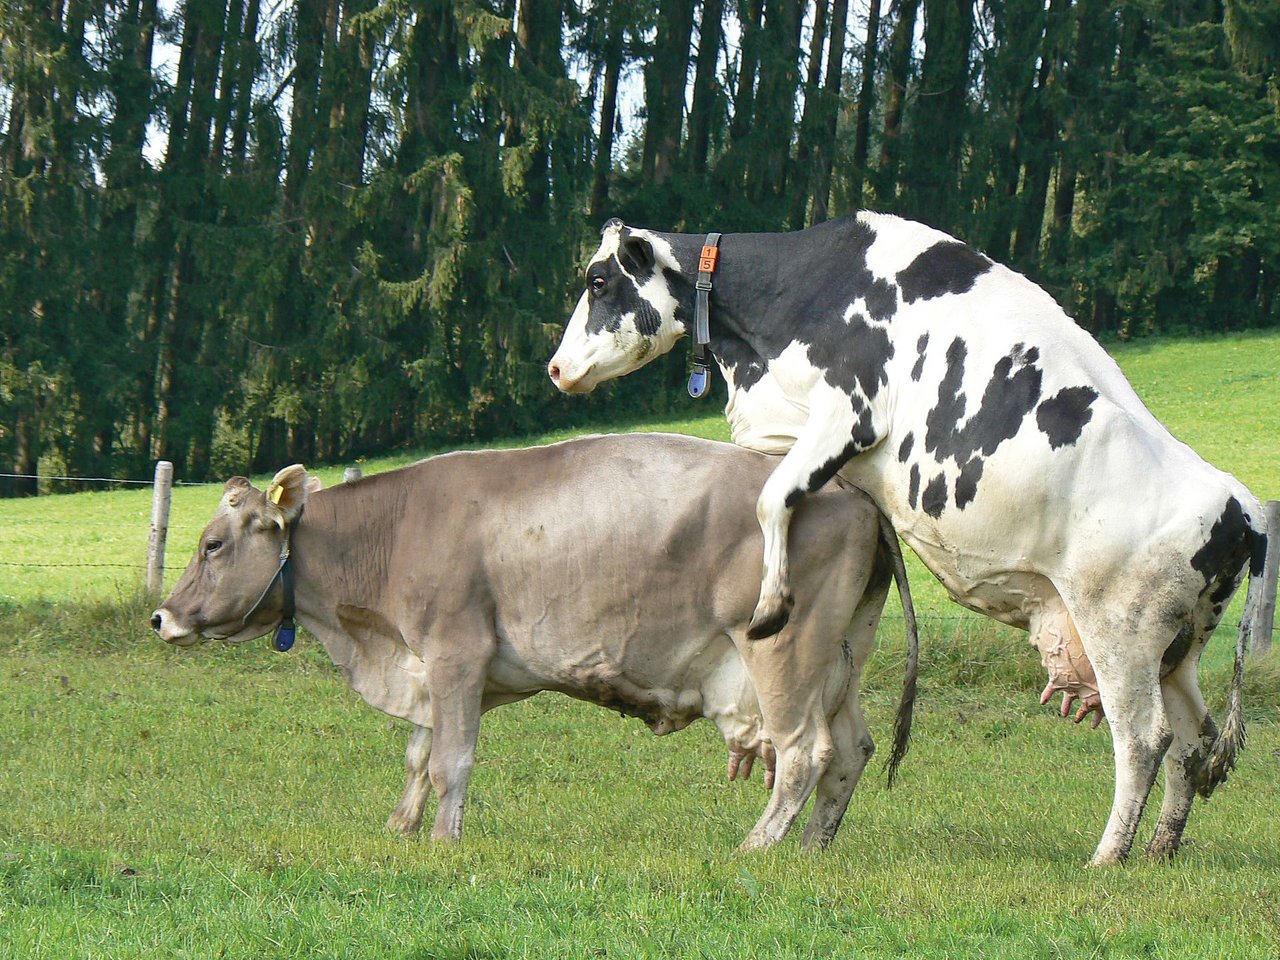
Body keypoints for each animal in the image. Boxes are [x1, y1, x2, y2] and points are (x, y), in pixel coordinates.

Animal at [150, 433, 920, 851]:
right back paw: (811, 848)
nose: (162, 617)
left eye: (212, 544)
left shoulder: (455, 652)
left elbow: (449, 762)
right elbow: (418, 753)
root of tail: (851, 488)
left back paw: (755, 848)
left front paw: (444, 841)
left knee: (803, 754)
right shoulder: (435, 668)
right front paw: (401, 828)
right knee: (850, 751)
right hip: (841, 658)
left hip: (782, 651)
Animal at [547, 214, 1269, 866]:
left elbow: (768, 498)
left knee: (1144, 739)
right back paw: (1159, 850)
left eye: (599, 280)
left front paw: (772, 603)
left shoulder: (849, 413)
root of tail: (1240, 502)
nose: (555, 369)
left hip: (1120, 629)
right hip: (1177, 648)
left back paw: (1108, 857)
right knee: (1194, 740)